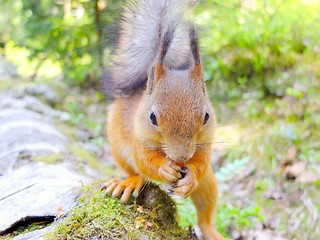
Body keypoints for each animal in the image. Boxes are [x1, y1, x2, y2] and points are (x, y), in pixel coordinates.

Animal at [104, 0, 224, 239]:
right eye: (152, 117)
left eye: (206, 116)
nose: (181, 157)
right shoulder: (139, 138)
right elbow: (145, 161)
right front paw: (164, 169)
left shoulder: (206, 142)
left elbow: (201, 163)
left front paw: (190, 177)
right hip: (118, 147)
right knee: (137, 172)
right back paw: (130, 182)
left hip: (208, 184)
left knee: (205, 212)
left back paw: (210, 230)